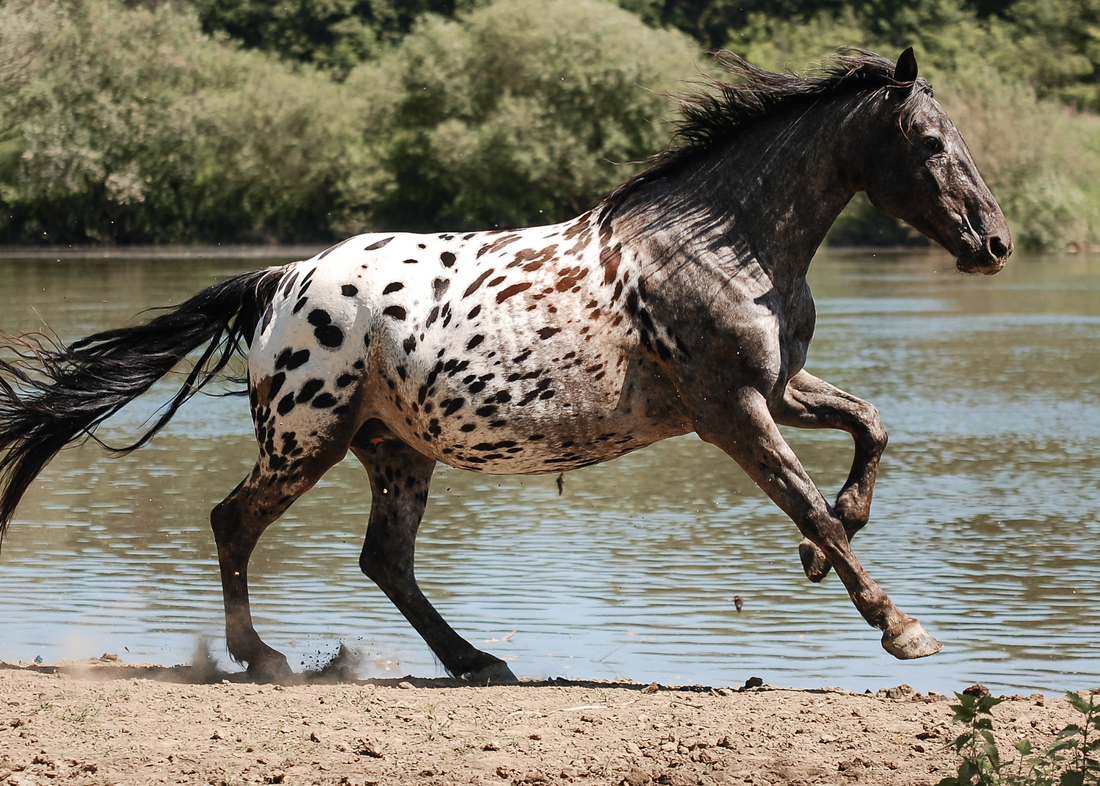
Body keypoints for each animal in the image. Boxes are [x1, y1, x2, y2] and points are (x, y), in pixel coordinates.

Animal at [0, 48, 1011, 683]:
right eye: (930, 143)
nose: (994, 243)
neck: (721, 245)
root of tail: (282, 279)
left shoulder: (778, 390)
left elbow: (871, 429)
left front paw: (824, 549)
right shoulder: (731, 411)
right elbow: (810, 501)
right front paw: (902, 628)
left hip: (393, 449)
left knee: (383, 560)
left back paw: (475, 661)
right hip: (305, 437)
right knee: (233, 522)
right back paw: (266, 659)